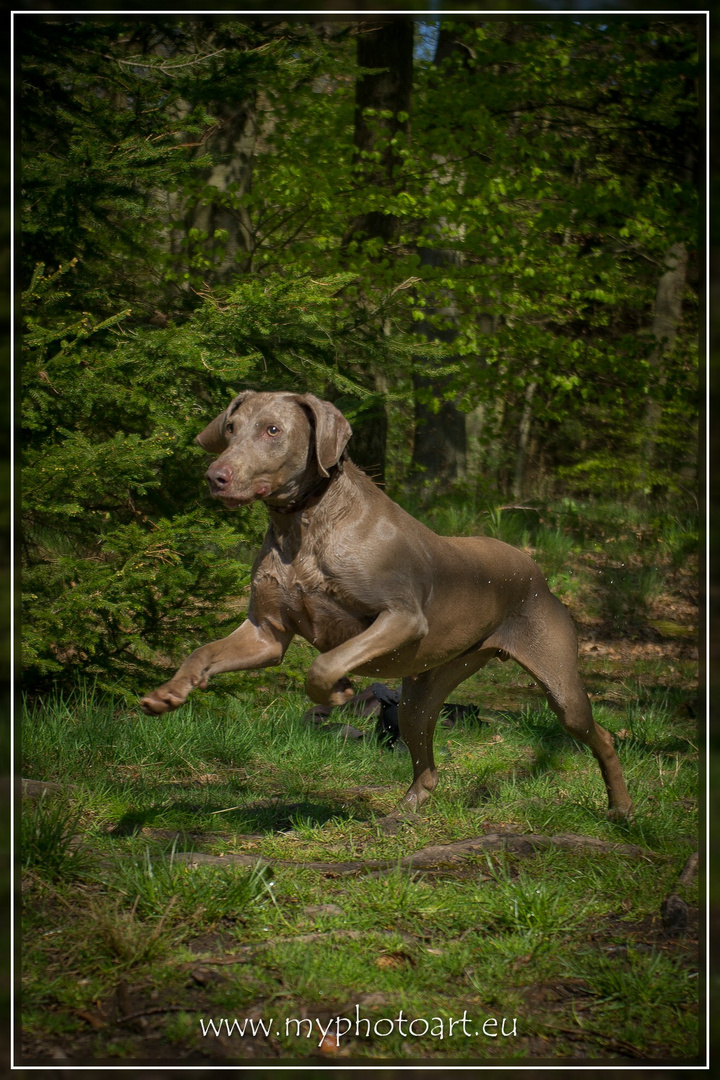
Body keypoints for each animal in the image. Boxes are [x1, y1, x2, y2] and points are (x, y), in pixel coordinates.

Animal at [139, 393, 630, 820]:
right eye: (231, 427)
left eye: (272, 430)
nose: (214, 476)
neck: (303, 523)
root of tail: (533, 568)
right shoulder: (266, 634)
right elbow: (202, 652)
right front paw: (168, 693)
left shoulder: (401, 618)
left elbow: (323, 664)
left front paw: (337, 690)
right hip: (422, 696)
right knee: (427, 768)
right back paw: (404, 814)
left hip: (560, 688)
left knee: (602, 736)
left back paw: (621, 808)